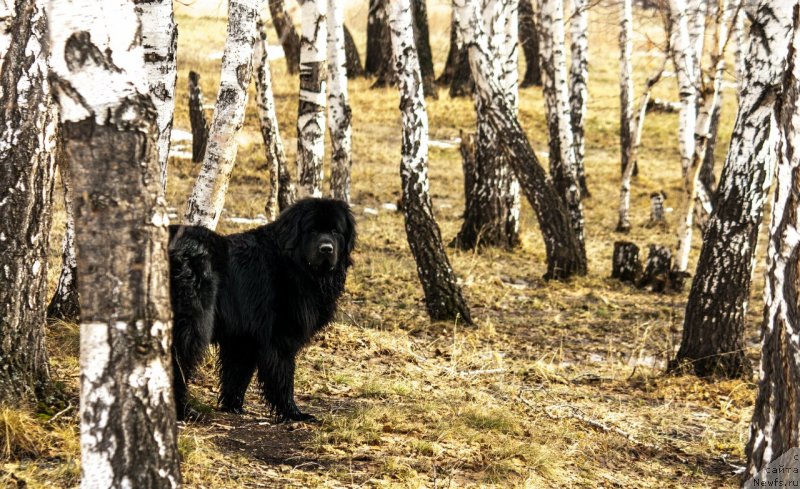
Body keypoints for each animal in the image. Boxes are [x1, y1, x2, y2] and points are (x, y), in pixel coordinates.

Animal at [167, 197, 354, 420]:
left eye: (335, 231)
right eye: (313, 231)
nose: (326, 248)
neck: (294, 264)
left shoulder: (243, 337)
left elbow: (237, 375)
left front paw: (233, 407)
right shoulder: (279, 336)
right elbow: (283, 376)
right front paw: (292, 413)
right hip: (193, 323)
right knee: (178, 362)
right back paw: (184, 411)